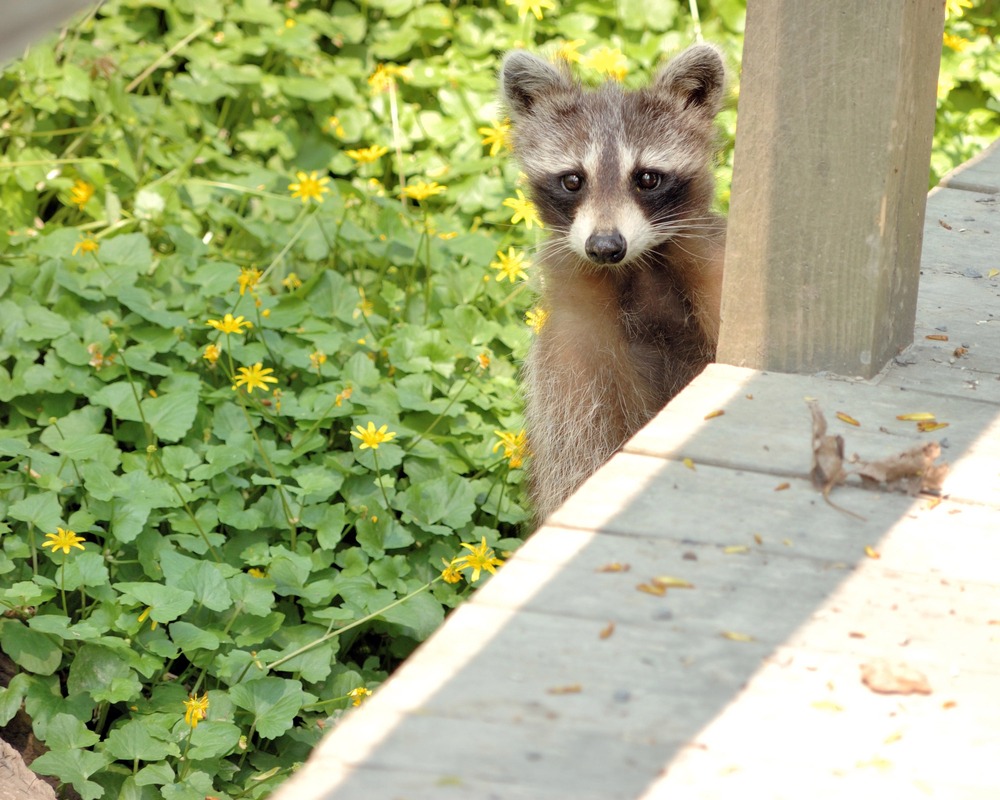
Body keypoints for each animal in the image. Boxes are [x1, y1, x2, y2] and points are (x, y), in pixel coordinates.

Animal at [500, 44, 727, 523]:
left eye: (647, 178)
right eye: (572, 179)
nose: (605, 246)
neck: (638, 274)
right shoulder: (571, 357)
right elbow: (581, 458)